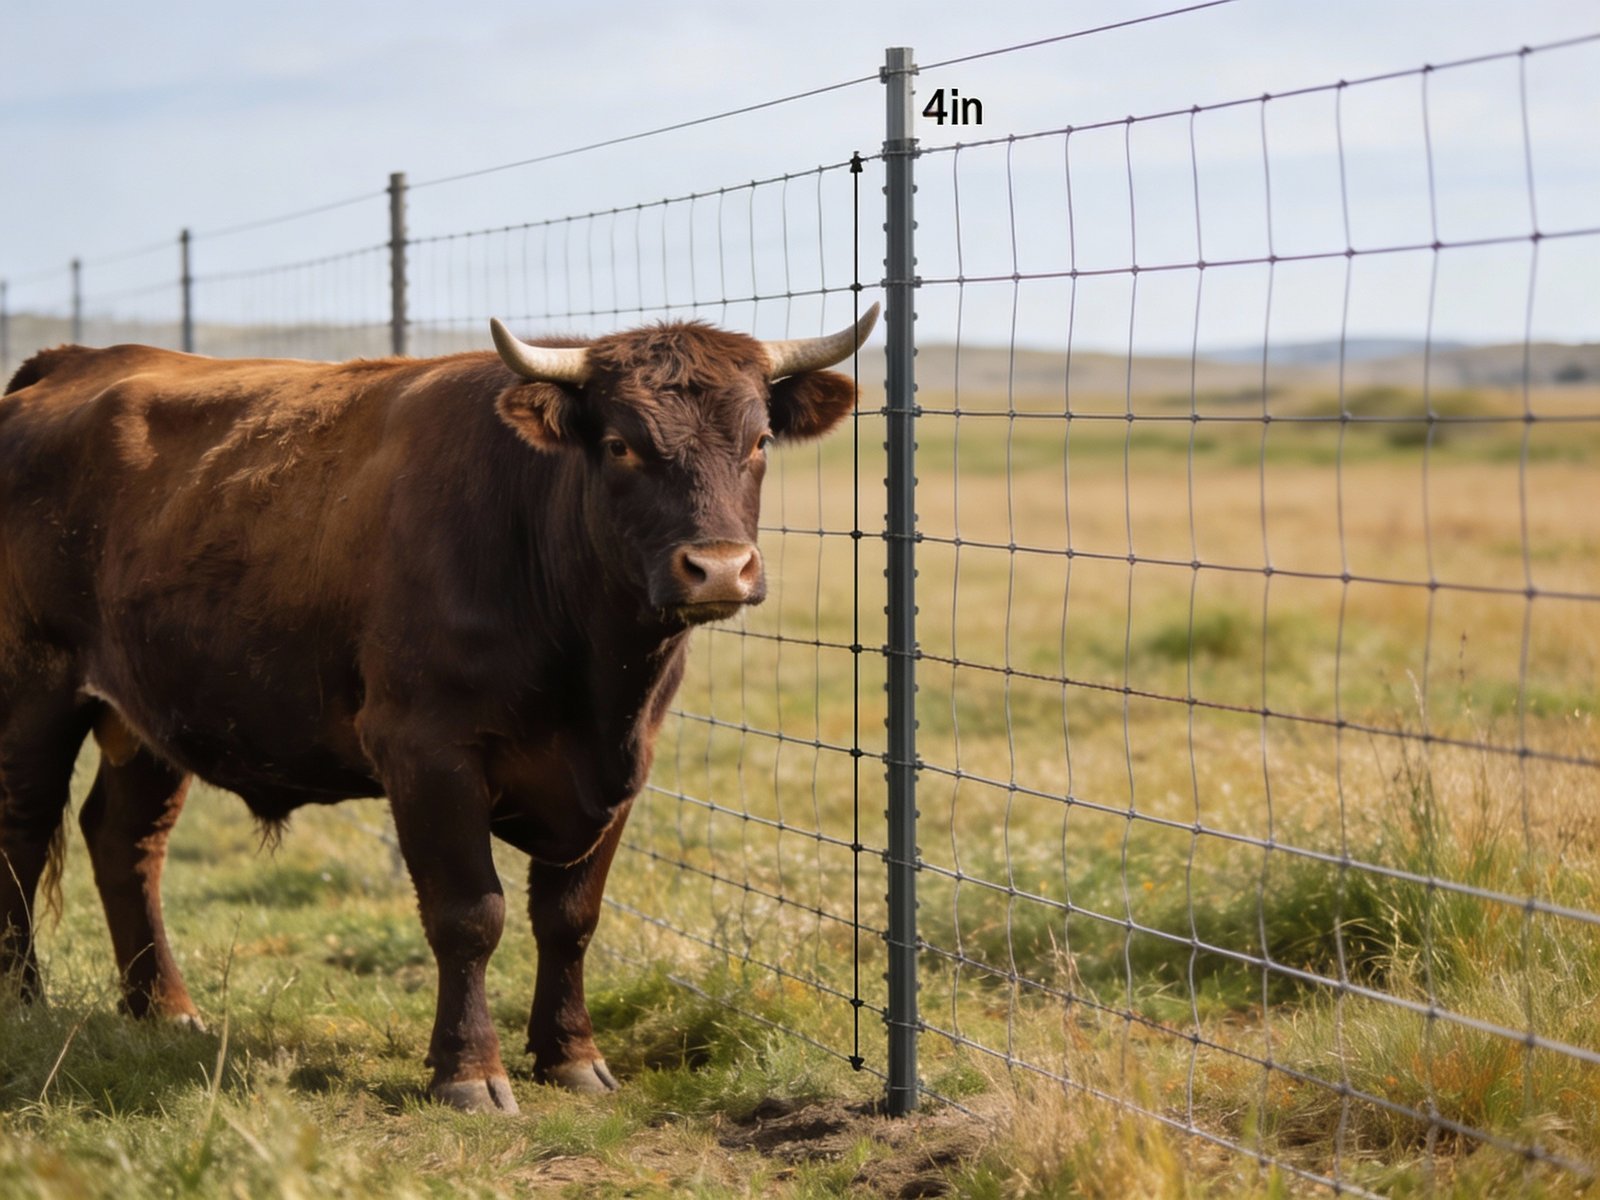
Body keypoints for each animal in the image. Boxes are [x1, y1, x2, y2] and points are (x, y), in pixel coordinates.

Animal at [0, 303, 878, 1113]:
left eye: (759, 442)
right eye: (621, 444)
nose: (720, 568)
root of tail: (71, 362)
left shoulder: (624, 766)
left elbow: (571, 916)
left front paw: (572, 1056)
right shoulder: (426, 752)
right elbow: (469, 914)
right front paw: (470, 1071)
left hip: (149, 712)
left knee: (125, 840)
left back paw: (164, 1009)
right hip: (32, 690)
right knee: (23, 830)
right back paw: (22, 1001)